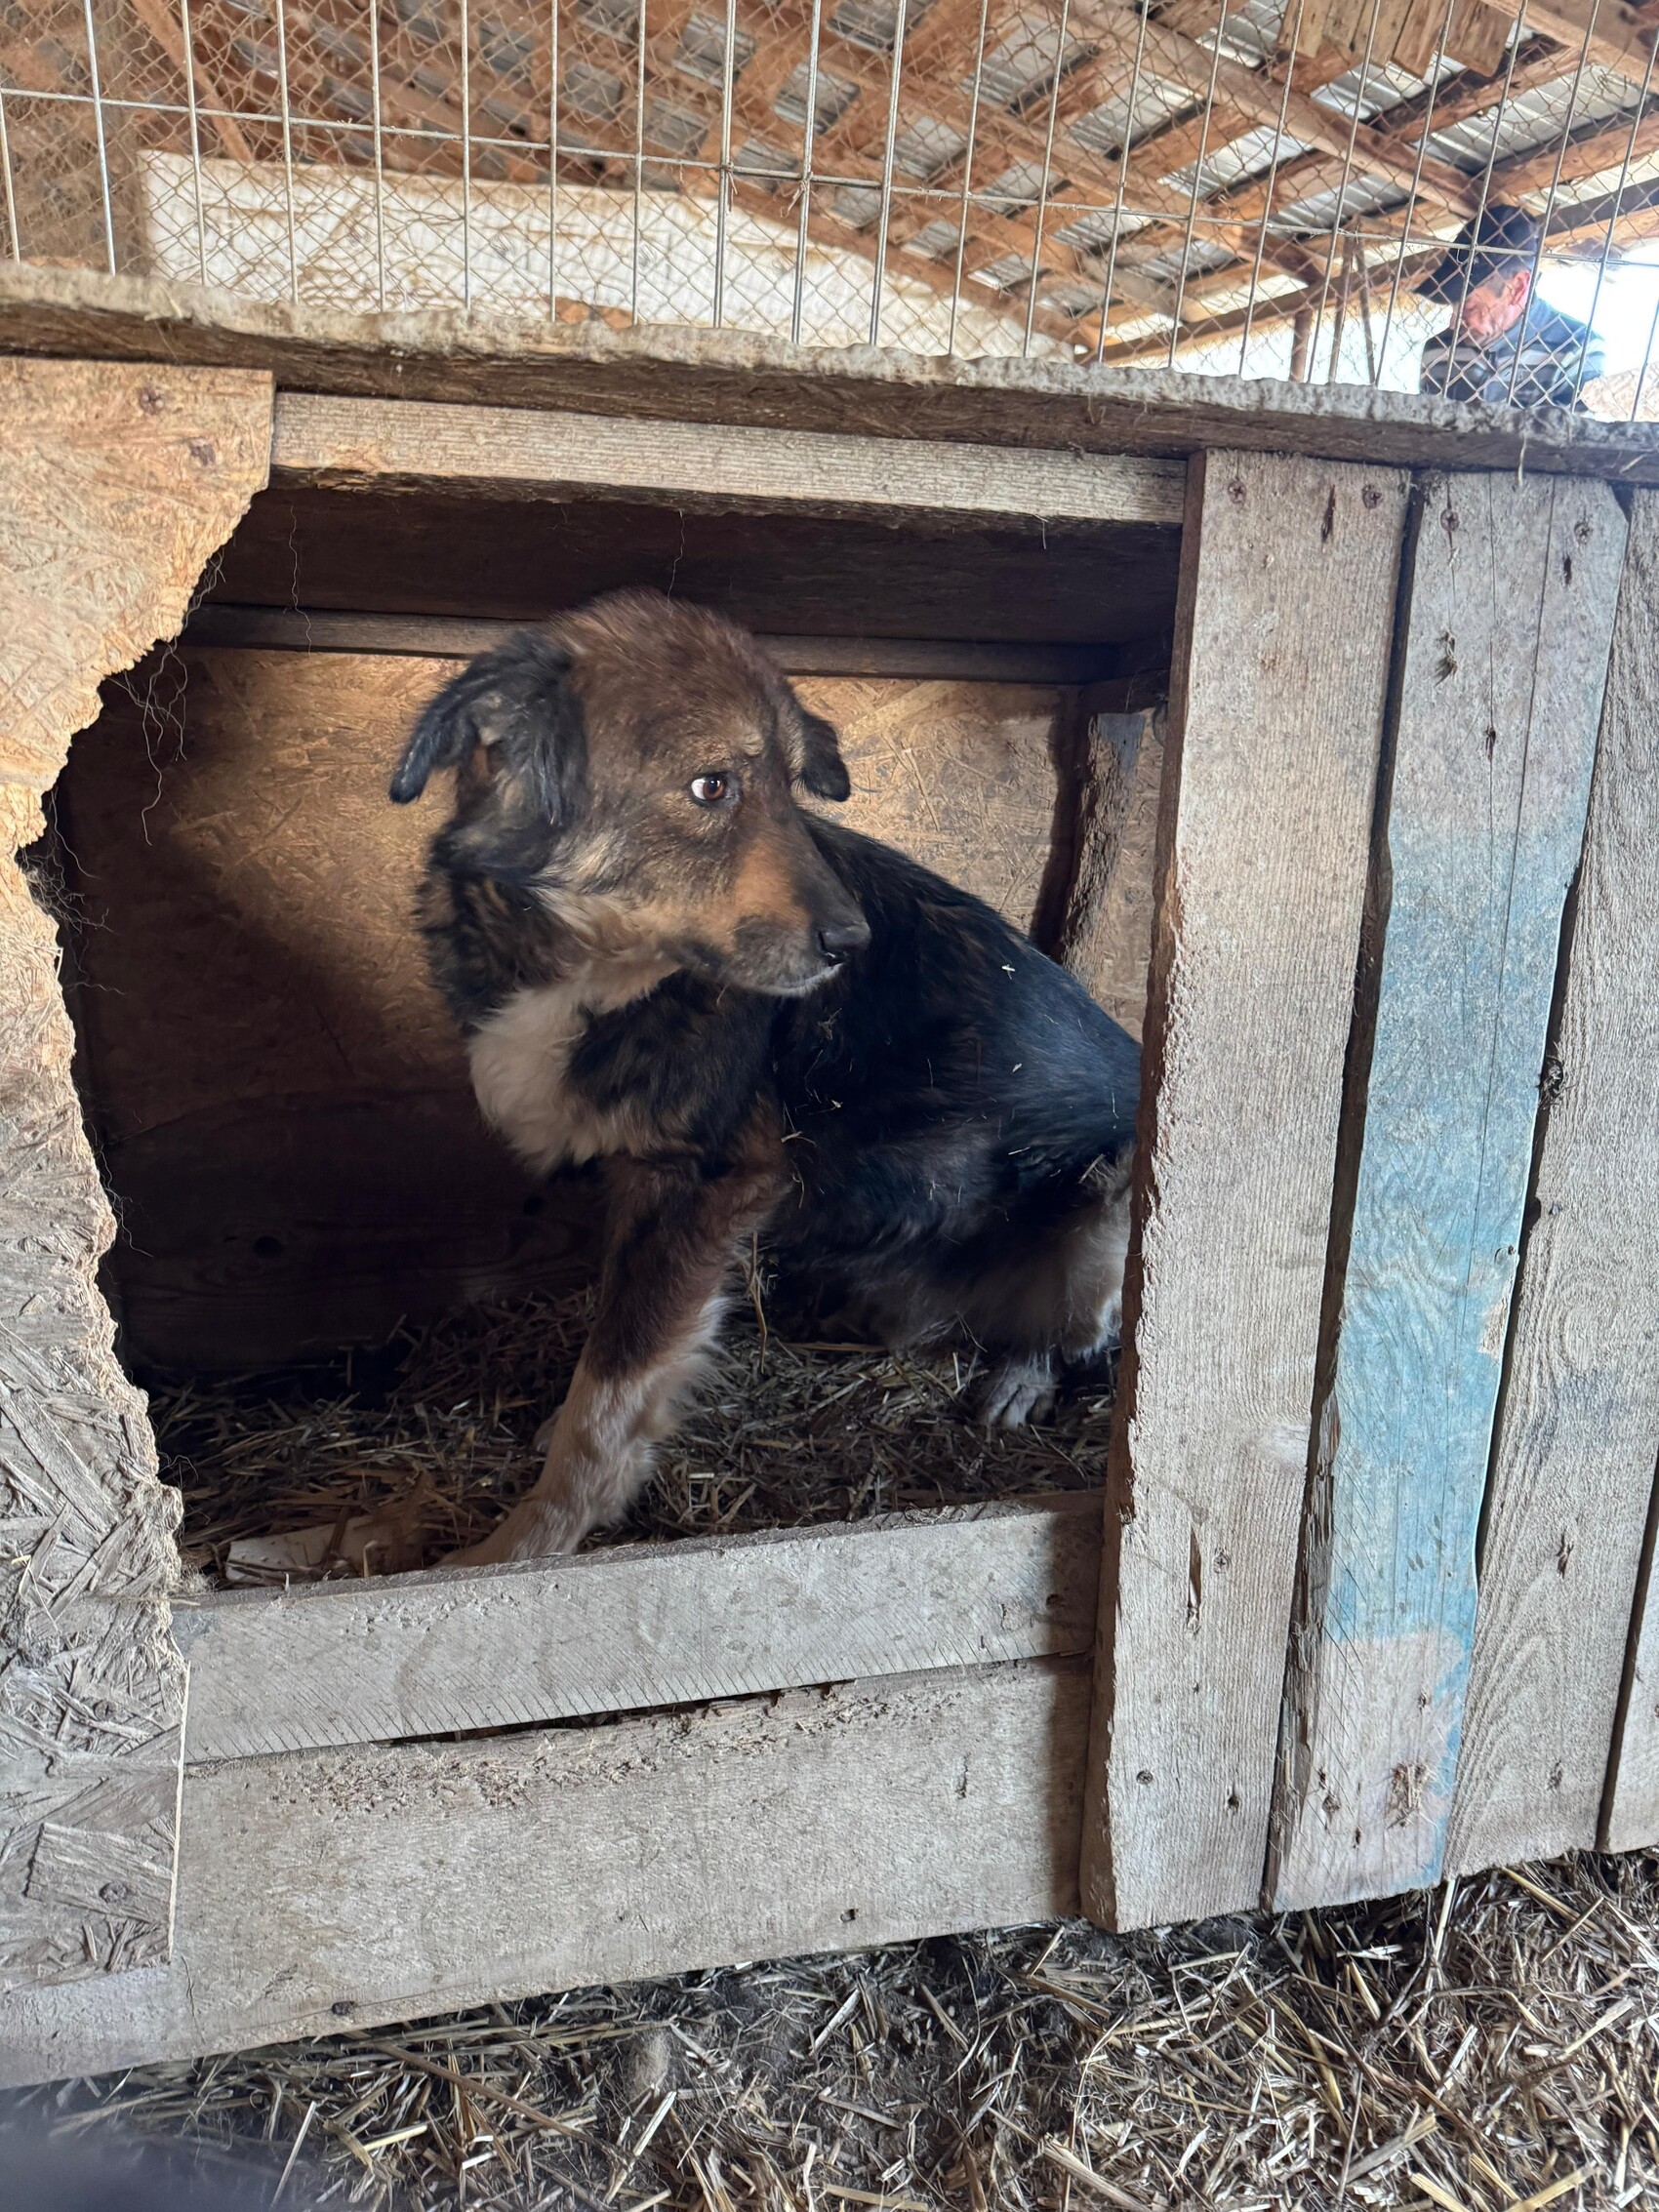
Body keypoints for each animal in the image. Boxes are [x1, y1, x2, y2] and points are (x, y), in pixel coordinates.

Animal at [390, 588, 1140, 1563]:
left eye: (793, 788)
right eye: (713, 786)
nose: (852, 943)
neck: (592, 968)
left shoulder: (708, 1185)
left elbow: (608, 1399)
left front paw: (526, 1545)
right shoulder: (645, 1183)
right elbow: (615, 1345)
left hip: (1117, 1197)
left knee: (1082, 1341)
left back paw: (1022, 1376)